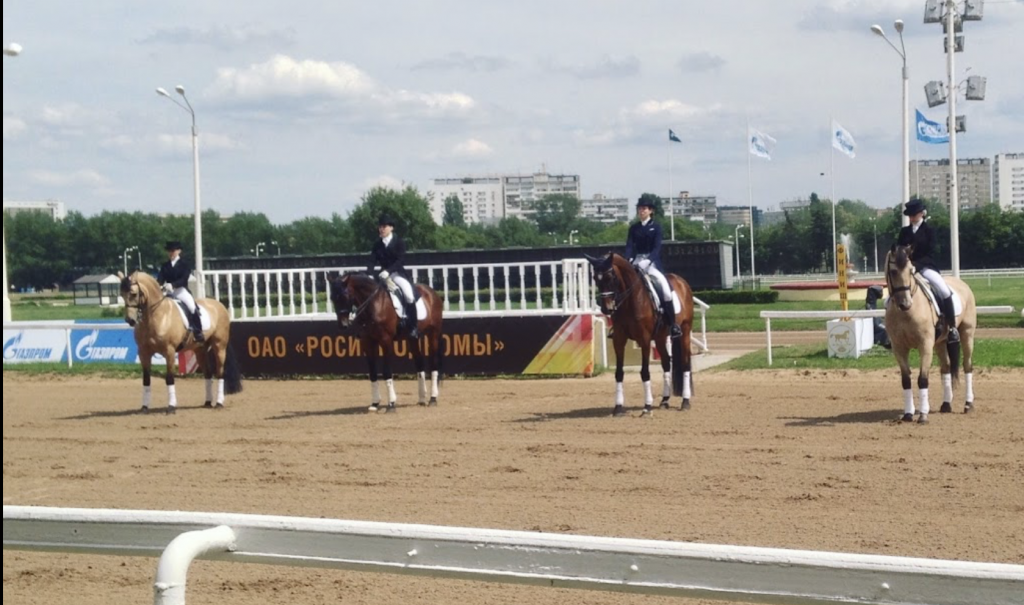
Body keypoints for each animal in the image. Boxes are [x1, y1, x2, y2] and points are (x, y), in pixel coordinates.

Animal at [119, 272, 241, 413]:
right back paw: (207, 402)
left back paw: (219, 403)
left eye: (133, 294)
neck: (157, 316)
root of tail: (219, 305)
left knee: (220, 373)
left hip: (219, 347)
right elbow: (146, 379)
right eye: (122, 294)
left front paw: (171, 407)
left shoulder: (169, 351)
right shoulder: (144, 353)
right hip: (200, 351)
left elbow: (169, 378)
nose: (130, 320)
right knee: (208, 374)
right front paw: (144, 407)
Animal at [327, 272, 440, 413]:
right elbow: (372, 373)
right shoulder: (368, 343)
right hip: (412, 338)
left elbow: (386, 372)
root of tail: (431, 291)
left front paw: (391, 404)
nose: (343, 325)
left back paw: (433, 398)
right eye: (332, 298)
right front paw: (375, 403)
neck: (374, 305)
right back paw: (421, 399)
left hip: (433, 333)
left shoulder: (386, 341)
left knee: (434, 363)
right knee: (419, 363)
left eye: (345, 296)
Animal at [585, 252, 696, 419]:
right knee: (666, 363)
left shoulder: (644, 340)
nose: (606, 309)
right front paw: (618, 407)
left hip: (685, 332)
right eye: (595, 278)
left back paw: (685, 402)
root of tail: (681, 281)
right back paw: (664, 400)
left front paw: (647, 407)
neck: (631, 300)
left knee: (685, 364)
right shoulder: (619, 340)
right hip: (660, 337)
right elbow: (619, 373)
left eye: (610, 277)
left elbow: (645, 372)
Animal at [884, 243, 978, 423]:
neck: (907, 313)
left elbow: (922, 379)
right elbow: (906, 380)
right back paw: (946, 404)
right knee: (946, 367)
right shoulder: (899, 348)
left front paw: (923, 414)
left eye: (911, 271)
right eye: (893, 272)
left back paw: (968, 404)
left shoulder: (925, 345)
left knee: (967, 366)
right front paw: (908, 414)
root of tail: (961, 283)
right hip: (940, 342)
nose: (905, 304)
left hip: (967, 334)